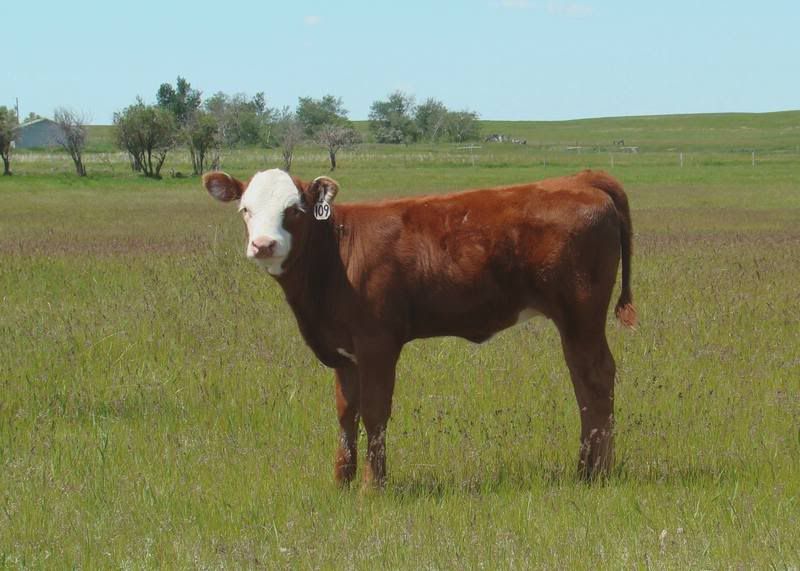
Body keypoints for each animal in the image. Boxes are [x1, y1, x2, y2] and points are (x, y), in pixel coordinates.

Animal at [202, 168, 636, 488]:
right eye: (245, 209)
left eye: (294, 209)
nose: (263, 245)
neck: (334, 260)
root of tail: (580, 178)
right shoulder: (344, 352)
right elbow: (345, 413)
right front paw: (341, 483)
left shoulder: (378, 343)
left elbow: (375, 412)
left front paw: (372, 488)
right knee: (583, 380)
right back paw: (585, 468)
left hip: (582, 315)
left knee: (596, 378)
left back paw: (596, 474)